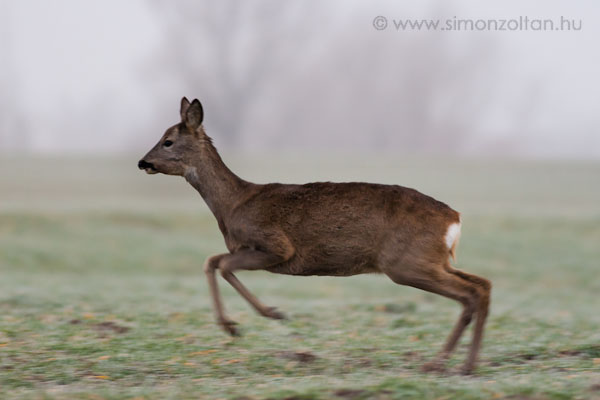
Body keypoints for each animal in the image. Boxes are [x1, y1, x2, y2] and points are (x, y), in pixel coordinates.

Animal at [139, 97, 492, 376]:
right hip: (433, 259)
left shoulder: (276, 246)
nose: (143, 162)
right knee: (483, 285)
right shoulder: (249, 249)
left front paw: (262, 316)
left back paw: (444, 364)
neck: (232, 205)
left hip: (406, 263)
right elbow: (212, 261)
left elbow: (222, 265)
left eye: (168, 140)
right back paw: (464, 365)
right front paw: (233, 324)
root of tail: (454, 218)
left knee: (469, 293)